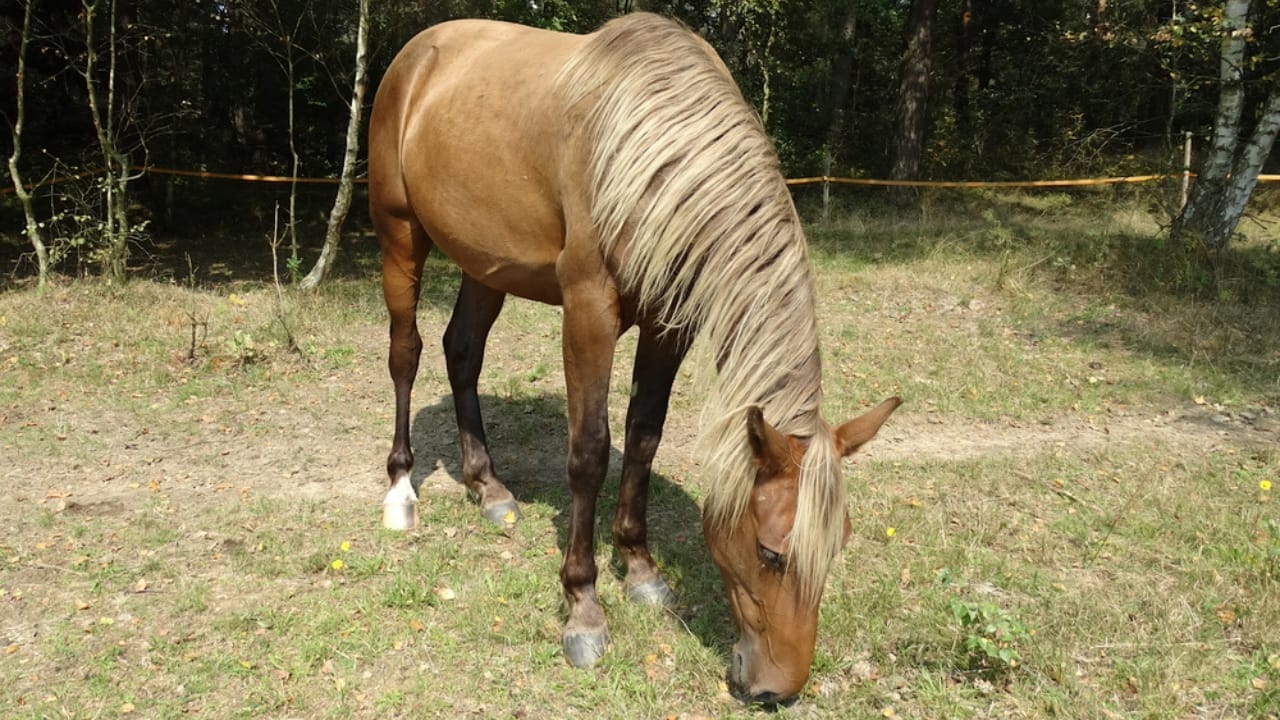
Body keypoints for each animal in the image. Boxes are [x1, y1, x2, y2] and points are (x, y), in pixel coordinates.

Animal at [367, 13, 900, 705]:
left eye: (838, 546)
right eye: (770, 553)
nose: (775, 690)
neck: (653, 147)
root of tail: (419, 53)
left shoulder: (670, 323)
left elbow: (644, 436)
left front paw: (641, 569)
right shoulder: (588, 312)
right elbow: (590, 452)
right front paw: (584, 609)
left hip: (484, 262)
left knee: (463, 351)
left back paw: (489, 487)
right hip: (400, 236)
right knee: (406, 354)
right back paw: (401, 491)